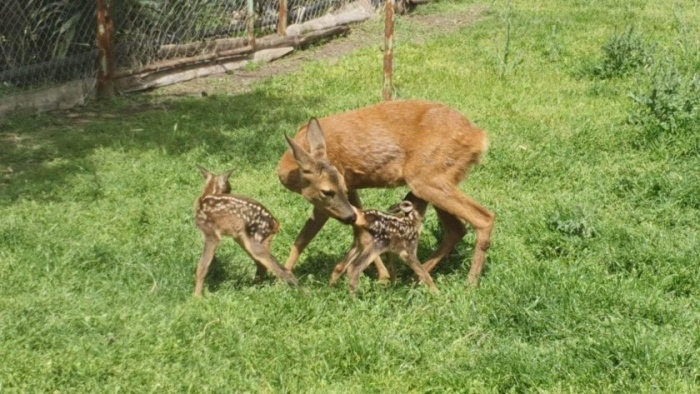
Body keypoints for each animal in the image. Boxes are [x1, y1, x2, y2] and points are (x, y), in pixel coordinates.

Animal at [194, 165, 298, 298]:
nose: (231, 191)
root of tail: (276, 224)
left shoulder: (211, 232)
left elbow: (203, 265)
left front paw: (197, 296)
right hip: (251, 238)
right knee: (262, 265)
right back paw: (253, 287)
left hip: (254, 238)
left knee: (281, 270)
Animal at [276, 99, 494, 286]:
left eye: (327, 191)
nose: (348, 216)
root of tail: (479, 137)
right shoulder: (351, 188)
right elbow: (352, 230)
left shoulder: (331, 199)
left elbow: (305, 238)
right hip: (437, 179)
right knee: (456, 229)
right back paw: (417, 276)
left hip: (427, 179)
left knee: (484, 218)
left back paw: (470, 283)